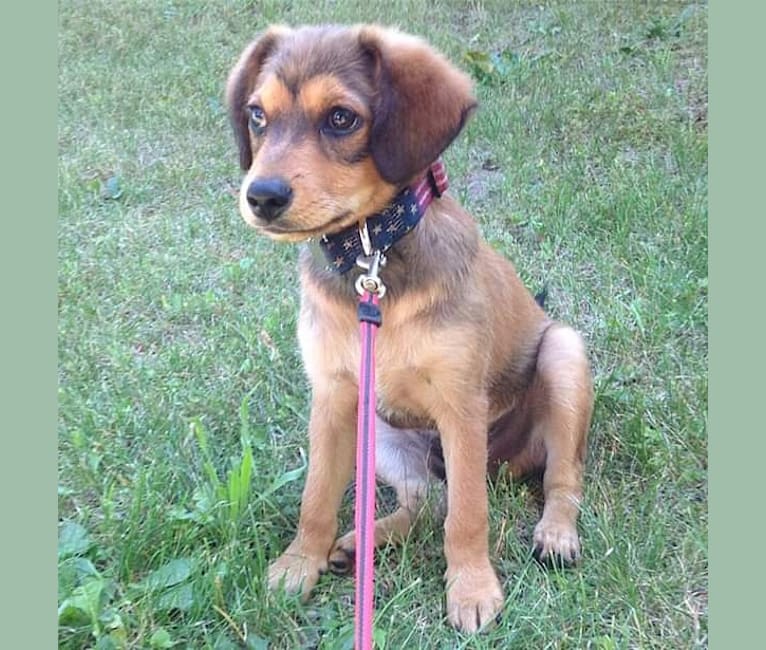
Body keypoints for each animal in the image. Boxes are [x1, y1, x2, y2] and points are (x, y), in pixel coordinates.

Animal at [225, 24, 596, 628]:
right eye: (258, 114)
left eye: (341, 118)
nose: (262, 196)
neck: (371, 258)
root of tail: (503, 464)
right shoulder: (332, 396)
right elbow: (316, 497)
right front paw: (298, 564)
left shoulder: (461, 404)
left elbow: (468, 516)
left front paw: (472, 589)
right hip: (381, 432)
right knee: (427, 502)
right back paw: (362, 543)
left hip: (563, 355)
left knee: (560, 477)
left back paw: (557, 534)